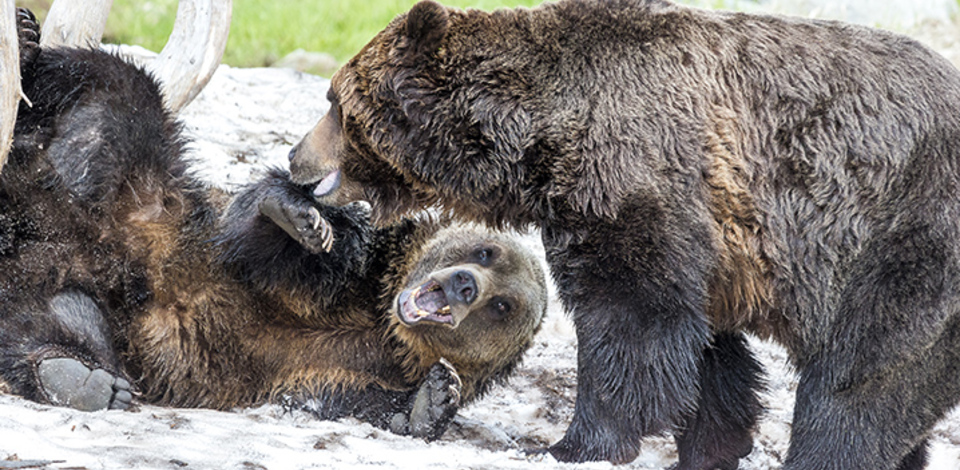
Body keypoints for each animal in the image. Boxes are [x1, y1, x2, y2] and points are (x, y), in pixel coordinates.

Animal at [0, 6, 548, 440]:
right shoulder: (350, 268)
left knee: (49, 321)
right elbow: (282, 252)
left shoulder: (348, 365)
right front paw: (295, 215)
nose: (463, 284)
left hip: (91, 308)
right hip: (136, 188)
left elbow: (347, 397)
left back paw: (75, 376)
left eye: (503, 305)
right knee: (114, 86)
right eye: (484, 251)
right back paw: (26, 41)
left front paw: (431, 403)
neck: (382, 317)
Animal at [288, 0, 960, 468]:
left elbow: (632, 320)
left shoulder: (639, 179)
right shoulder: (709, 243)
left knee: (859, 380)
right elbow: (705, 351)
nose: (296, 157)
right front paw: (713, 444)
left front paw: (574, 442)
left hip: (903, 240)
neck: (538, 145)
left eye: (334, 102)